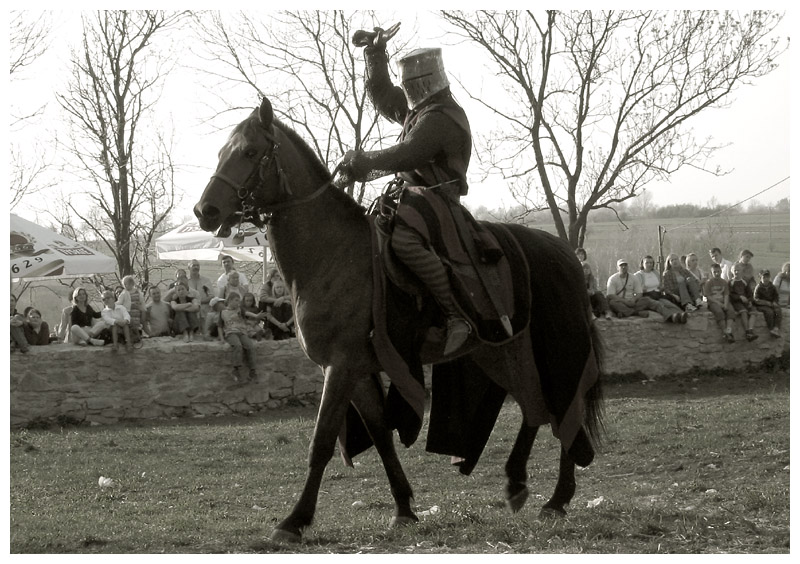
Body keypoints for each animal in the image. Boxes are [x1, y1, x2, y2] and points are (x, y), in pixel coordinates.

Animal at [194, 97, 604, 543]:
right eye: (222, 152)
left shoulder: (340, 366)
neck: (331, 254)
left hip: (558, 349)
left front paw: (295, 520)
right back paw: (517, 484)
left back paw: (558, 499)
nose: (205, 211)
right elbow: (381, 435)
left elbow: (322, 442)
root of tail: (564, 252)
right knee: (535, 408)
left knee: (563, 407)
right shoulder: (356, 370)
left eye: (250, 152)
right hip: (503, 350)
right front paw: (404, 508)